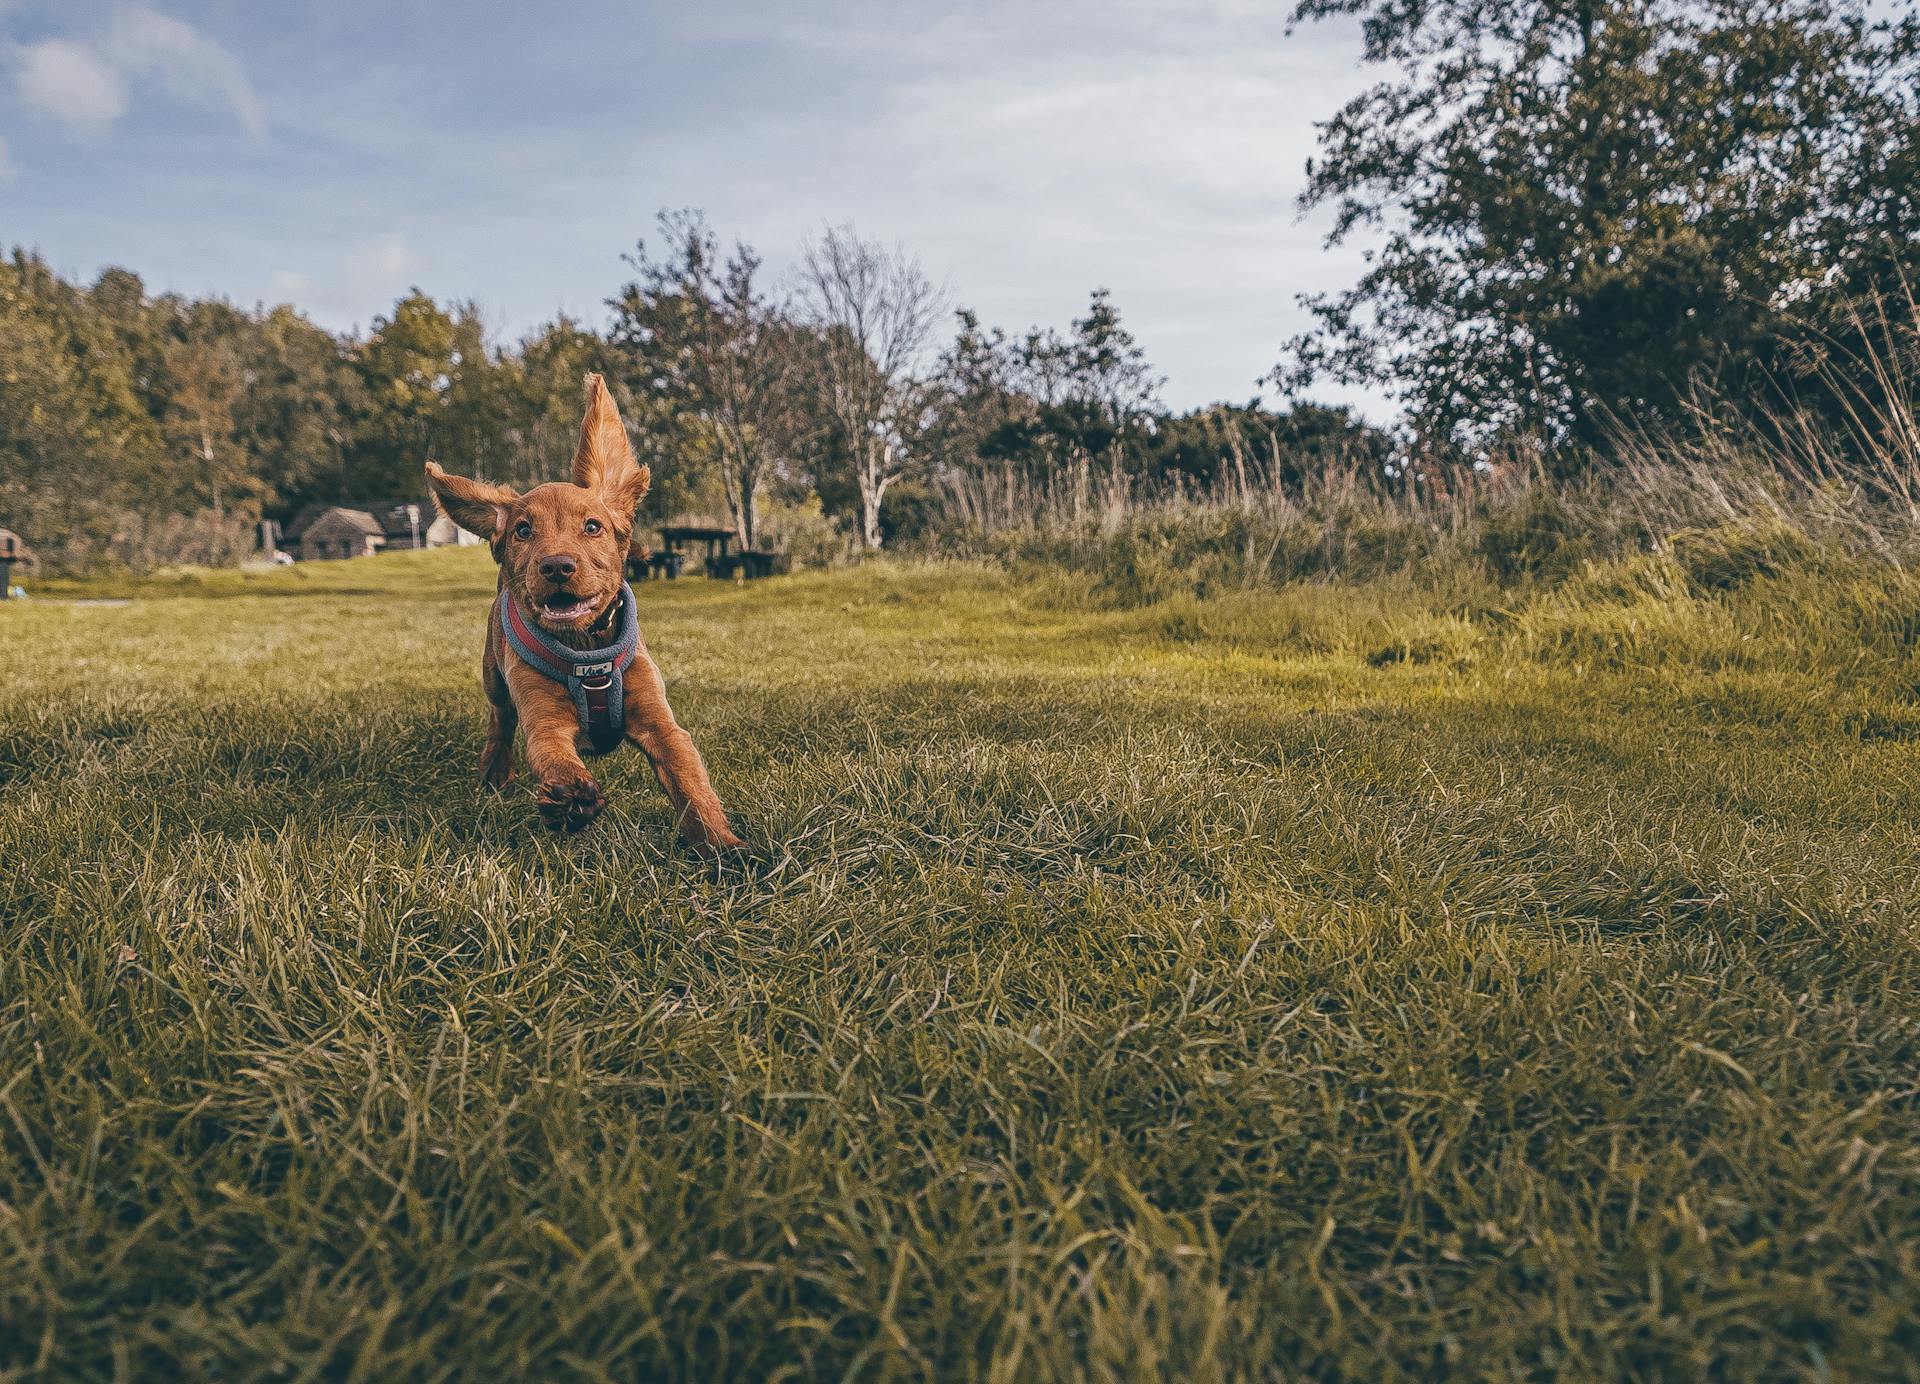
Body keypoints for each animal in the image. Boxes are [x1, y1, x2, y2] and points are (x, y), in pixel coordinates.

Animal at [426, 372, 741, 848]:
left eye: (592, 526)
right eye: (523, 531)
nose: (556, 565)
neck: (587, 649)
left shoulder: (661, 722)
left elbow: (690, 782)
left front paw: (722, 845)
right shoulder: (543, 718)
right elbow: (553, 755)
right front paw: (571, 798)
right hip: (493, 675)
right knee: (500, 720)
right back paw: (495, 771)